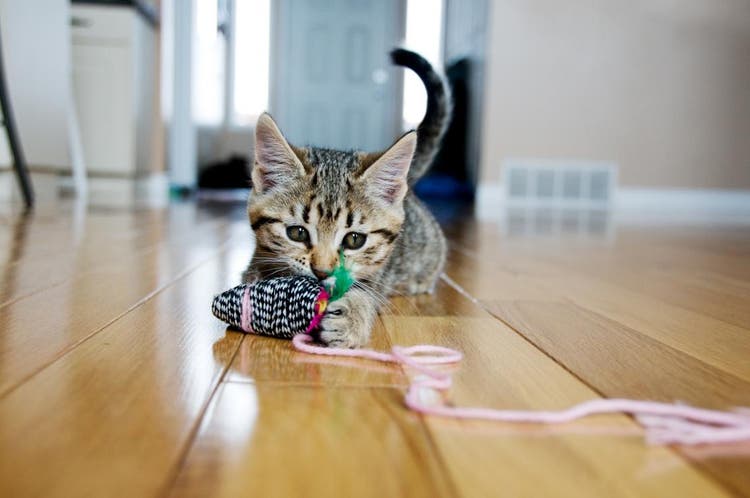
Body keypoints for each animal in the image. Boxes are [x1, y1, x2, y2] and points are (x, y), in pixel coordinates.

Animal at [244, 50, 450, 346]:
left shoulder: (376, 275)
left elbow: (366, 291)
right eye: (297, 233)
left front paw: (351, 317)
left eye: (354, 240)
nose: (322, 272)